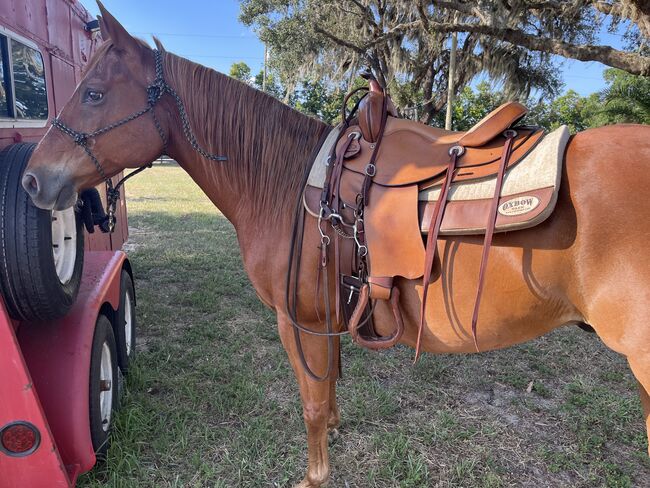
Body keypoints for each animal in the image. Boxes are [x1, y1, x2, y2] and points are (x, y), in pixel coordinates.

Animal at [21, 4, 648, 488]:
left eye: (94, 93)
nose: (31, 180)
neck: (284, 179)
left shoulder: (297, 320)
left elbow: (312, 401)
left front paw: (315, 474)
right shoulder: (327, 319)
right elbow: (330, 388)